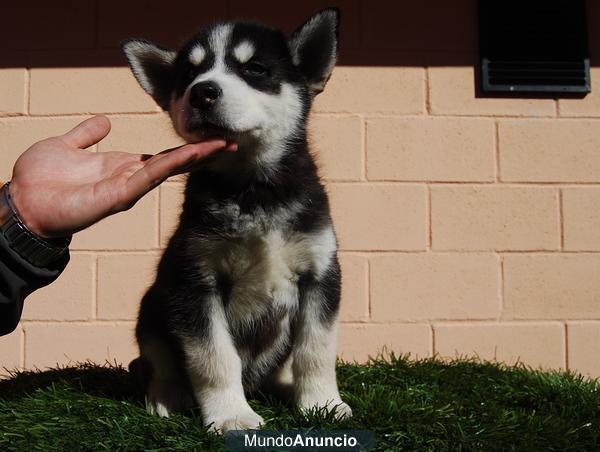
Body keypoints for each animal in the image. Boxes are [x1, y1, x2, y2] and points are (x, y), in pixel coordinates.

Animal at [122, 7, 352, 430]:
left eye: (255, 69)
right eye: (188, 76)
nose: (202, 91)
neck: (253, 189)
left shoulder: (321, 273)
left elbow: (316, 348)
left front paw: (321, 403)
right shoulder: (195, 281)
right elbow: (213, 357)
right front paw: (232, 415)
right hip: (151, 308)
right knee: (155, 363)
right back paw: (166, 396)